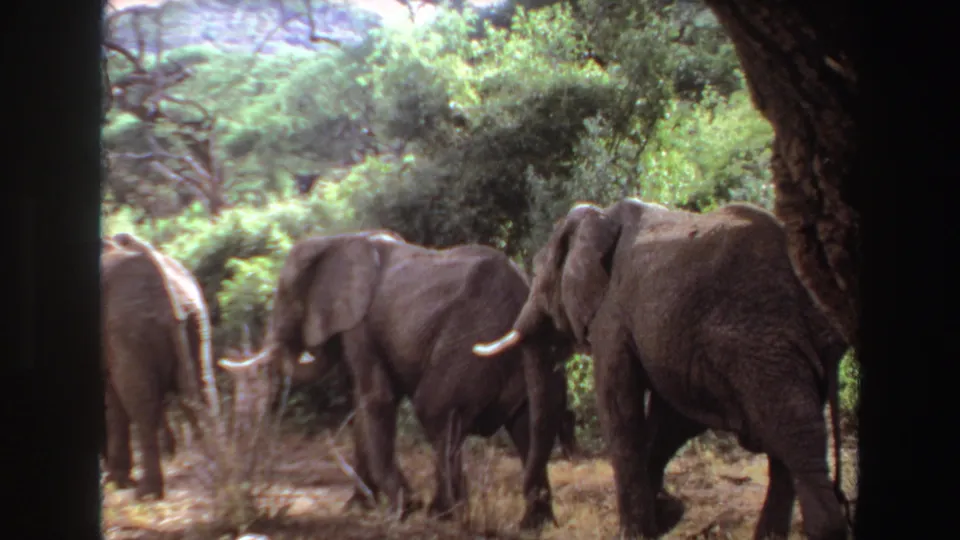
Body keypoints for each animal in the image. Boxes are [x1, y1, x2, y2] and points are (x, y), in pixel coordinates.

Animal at [100, 232, 220, 499]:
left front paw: (115, 481)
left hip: (129, 327)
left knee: (141, 405)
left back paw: (147, 492)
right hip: (197, 319)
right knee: (203, 391)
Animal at [218, 230, 575, 529]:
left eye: (286, 298)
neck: (337, 240)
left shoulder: (360, 323)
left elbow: (376, 399)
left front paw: (402, 509)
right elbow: (363, 406)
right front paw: (358, 508)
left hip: (471, 343)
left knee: (436, 411)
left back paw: (442, 515)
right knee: (526, 427)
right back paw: (534, 525)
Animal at [474, 198, 851, 540]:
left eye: (541, 273)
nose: (530, 521)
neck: (600, 217)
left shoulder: (613, 315)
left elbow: (621, 408)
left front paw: (636, 532)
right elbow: (670, 417)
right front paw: (667, 514)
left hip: (762, 343)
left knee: (794, 437)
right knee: (787, 447)